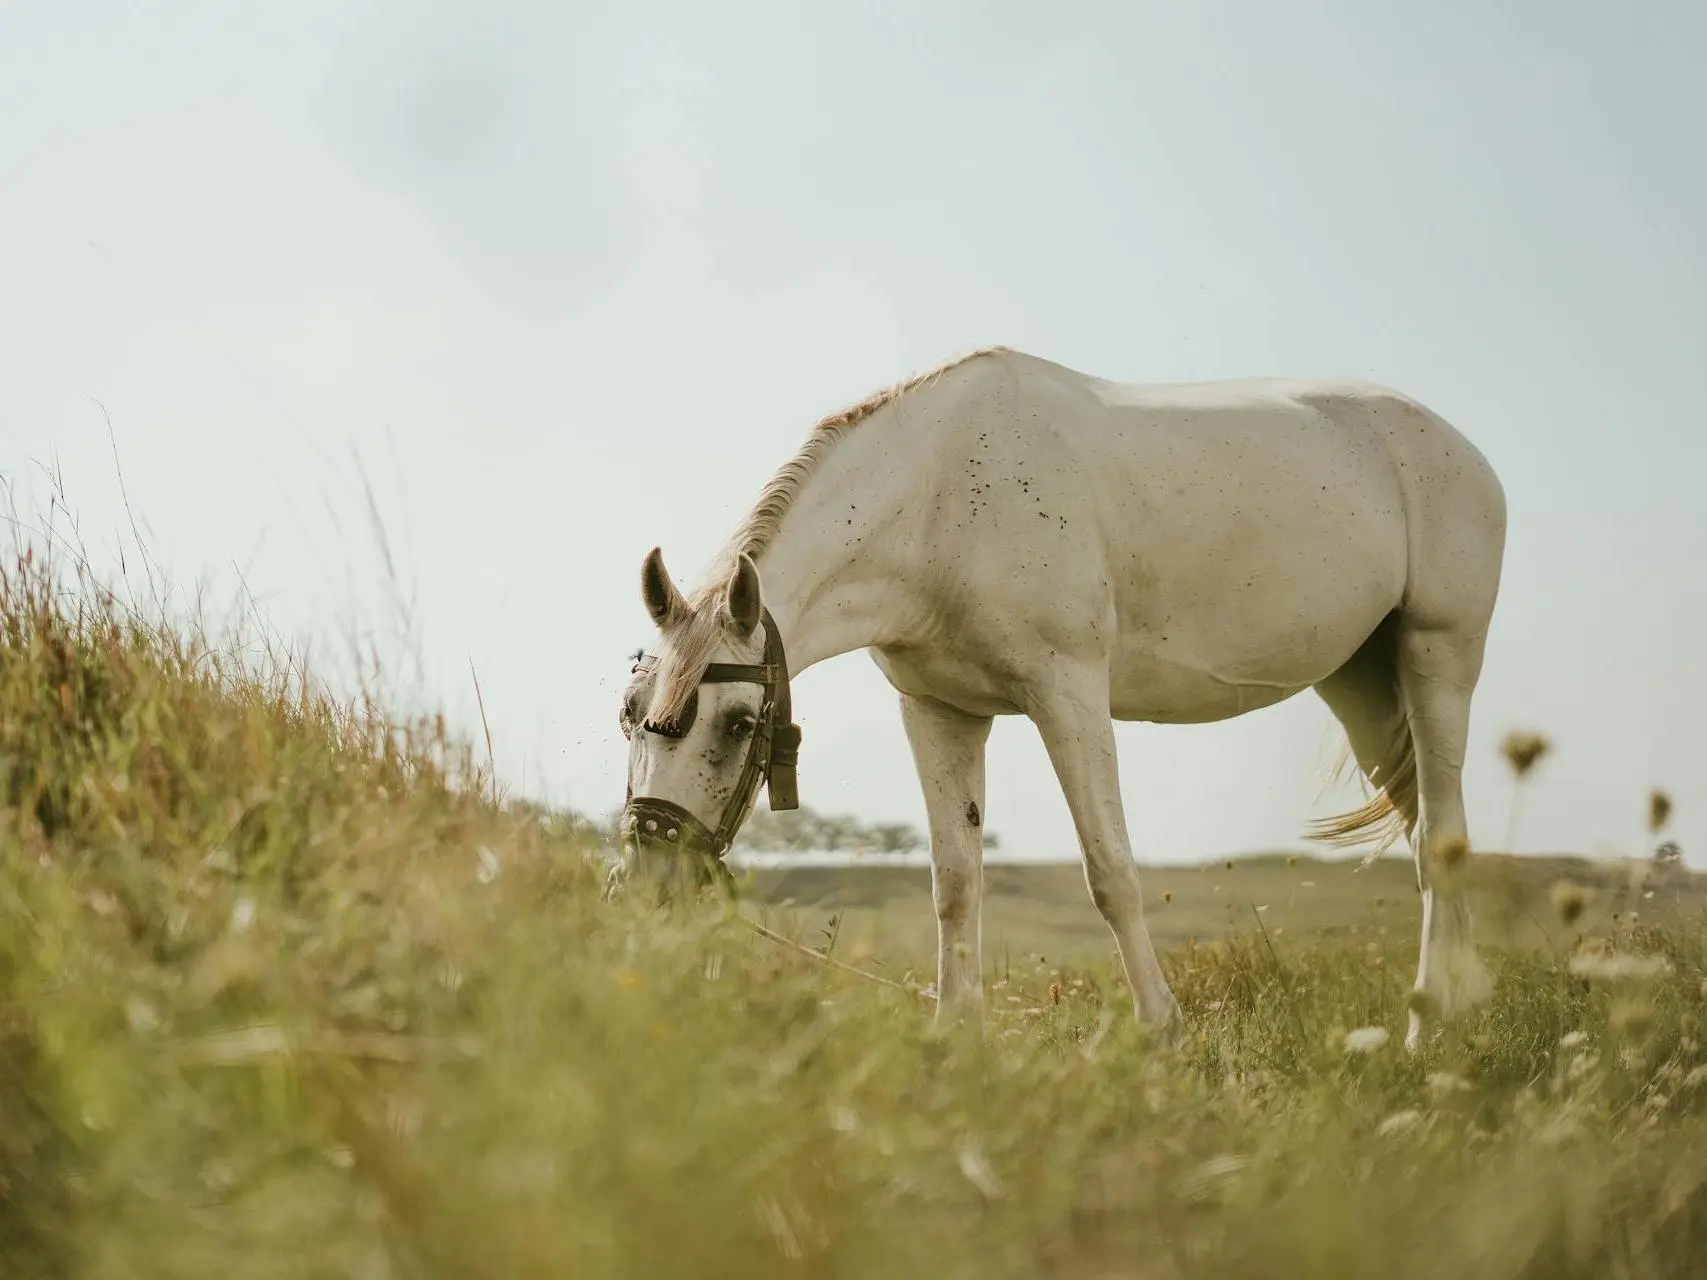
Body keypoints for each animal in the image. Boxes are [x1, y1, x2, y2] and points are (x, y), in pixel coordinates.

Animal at [617, 343, 1508, 1051]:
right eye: (629, 717)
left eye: (737, 724)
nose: (652, 886)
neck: (939, 502)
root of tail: (1462, 451)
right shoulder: (938, 713)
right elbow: (954, 883)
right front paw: (957, 1036)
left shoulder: (1068, 693)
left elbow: (1109, 871)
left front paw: (1161, 1031)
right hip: (1357, 682)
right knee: (1426, 839)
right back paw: (1455, 1011)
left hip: (1437, 656)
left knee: (1441, 839)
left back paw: (1425, 1033)